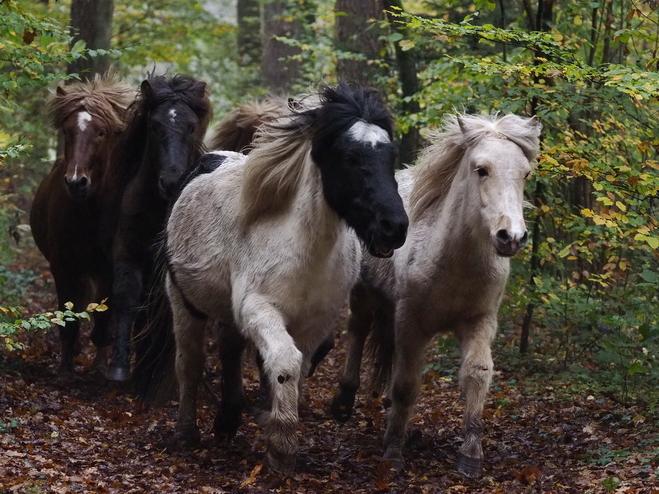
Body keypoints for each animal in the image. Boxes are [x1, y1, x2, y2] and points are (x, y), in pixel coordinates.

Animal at [30, 74, 135, 374]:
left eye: (102, 132)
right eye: (67, 132)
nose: (76, 182)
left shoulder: (108, 270)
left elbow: (103, 319)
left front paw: (101, 363)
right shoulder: (62, 266)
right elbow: (70, 319)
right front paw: (66, 368)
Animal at [164, 84, 408, 474]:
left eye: (390, 156)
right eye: (349, 156)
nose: (394, 227)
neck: (302, 248)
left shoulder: (314, 323)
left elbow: (299, 366)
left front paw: (276, 429)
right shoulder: (260, 310)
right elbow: (285, 362)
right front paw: (280, 446)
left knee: (229, 348)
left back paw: (228, 419)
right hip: (183, 301)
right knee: (190, 362)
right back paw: (187, 433)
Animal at [330, 113, 540, 478]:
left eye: (525, 174)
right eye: (481, 169)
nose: (511, 236)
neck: (453, 263)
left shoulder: (480, 321)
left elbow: (477, 374)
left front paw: (471, 454)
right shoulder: (411, 322)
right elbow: (406, 384)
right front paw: (393, 452)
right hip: (363, 295)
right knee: (357, 331)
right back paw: (344, 400)